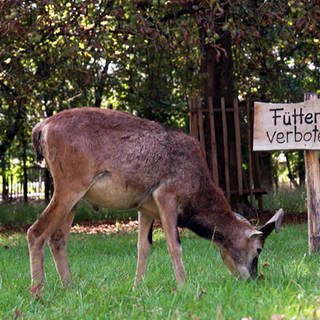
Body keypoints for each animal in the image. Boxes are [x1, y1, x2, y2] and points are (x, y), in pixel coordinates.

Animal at [27, 107, 282, 298]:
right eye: (258, 250)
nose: (254, 280)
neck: (197, 190)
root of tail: (42, 128)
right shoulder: (166, 194)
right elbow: (174, 245)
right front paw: (185, 288)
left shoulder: (145, 207)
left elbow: (144, 247)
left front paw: (136, 289)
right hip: (70, 185)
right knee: (36, 231)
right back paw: (38, 292)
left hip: (75, 197)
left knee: (57, 237)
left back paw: (69, 288)